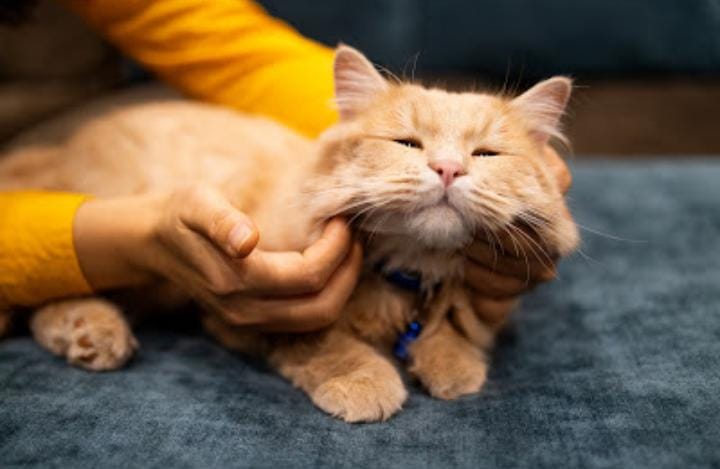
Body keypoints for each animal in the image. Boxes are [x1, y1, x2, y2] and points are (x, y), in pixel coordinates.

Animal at [0, 46, 576, 420]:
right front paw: (365, 382)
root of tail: (59, 151)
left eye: (486, 154)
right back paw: (93, 336)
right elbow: (327, 343)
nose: (449, 169)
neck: (407, 271)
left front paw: (453, 364)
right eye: (407, 143)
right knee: (49, 298)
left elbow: (452, 332)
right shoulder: (251, 315)